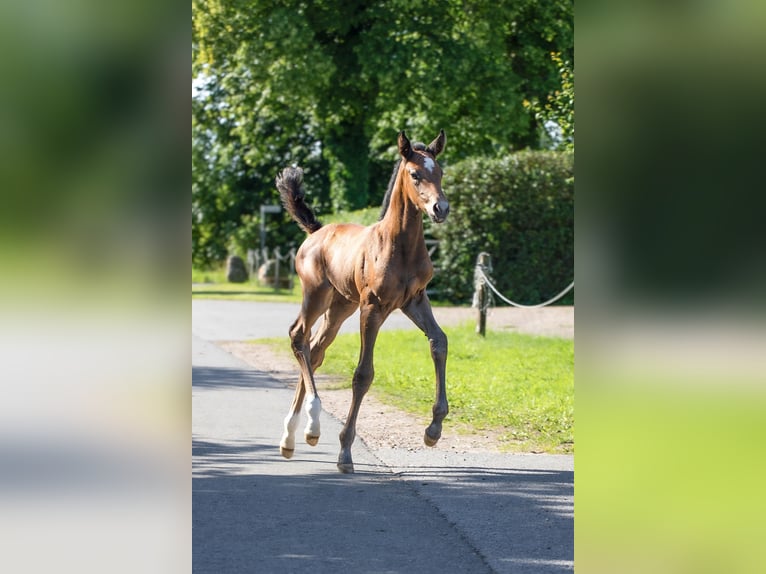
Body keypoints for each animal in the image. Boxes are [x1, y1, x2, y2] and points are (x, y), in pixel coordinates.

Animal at [276, 130, 449, 473]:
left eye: (440, 172)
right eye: (415, 174)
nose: (441, 208)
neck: (400, 245)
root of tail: (316, 232)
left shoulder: (415, 301)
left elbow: (439, 342)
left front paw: (433, 430)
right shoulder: (373, 307)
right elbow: (363, 374)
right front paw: (345, 451)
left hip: (340, 307)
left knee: (314, 350)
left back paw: (293, 438)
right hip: (316, 295)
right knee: (298, 336)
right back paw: (309, 426)